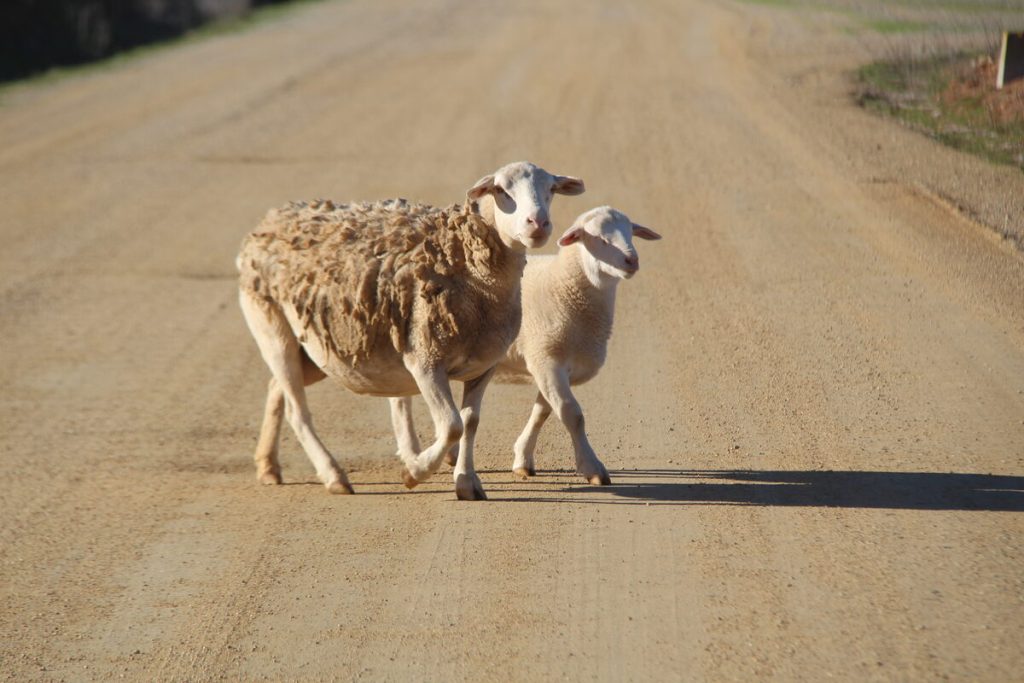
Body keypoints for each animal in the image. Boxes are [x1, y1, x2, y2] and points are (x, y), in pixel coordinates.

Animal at [236, 161, 585, 500]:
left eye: (551, 189)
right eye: (500, 190)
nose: (538, 223)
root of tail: (271, 219)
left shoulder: (484, 366)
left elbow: (470, 423)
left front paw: (467, 482)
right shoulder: (426, 362)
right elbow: (452, 426)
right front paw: (414, 472)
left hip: (314, 350)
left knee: (276, 388)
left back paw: (268, 466)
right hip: (271, 326)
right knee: (297, 411)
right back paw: (333, 476)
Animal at [389, 206, 660, 485]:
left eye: (631, 233)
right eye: (601, 239)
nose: (632, 261)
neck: (566, 285)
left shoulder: (552, 365)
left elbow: (543, 411)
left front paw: (522, 459)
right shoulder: (547, 358)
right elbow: (572, 414)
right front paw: (592, 467)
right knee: (400, 400)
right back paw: (412, 453)